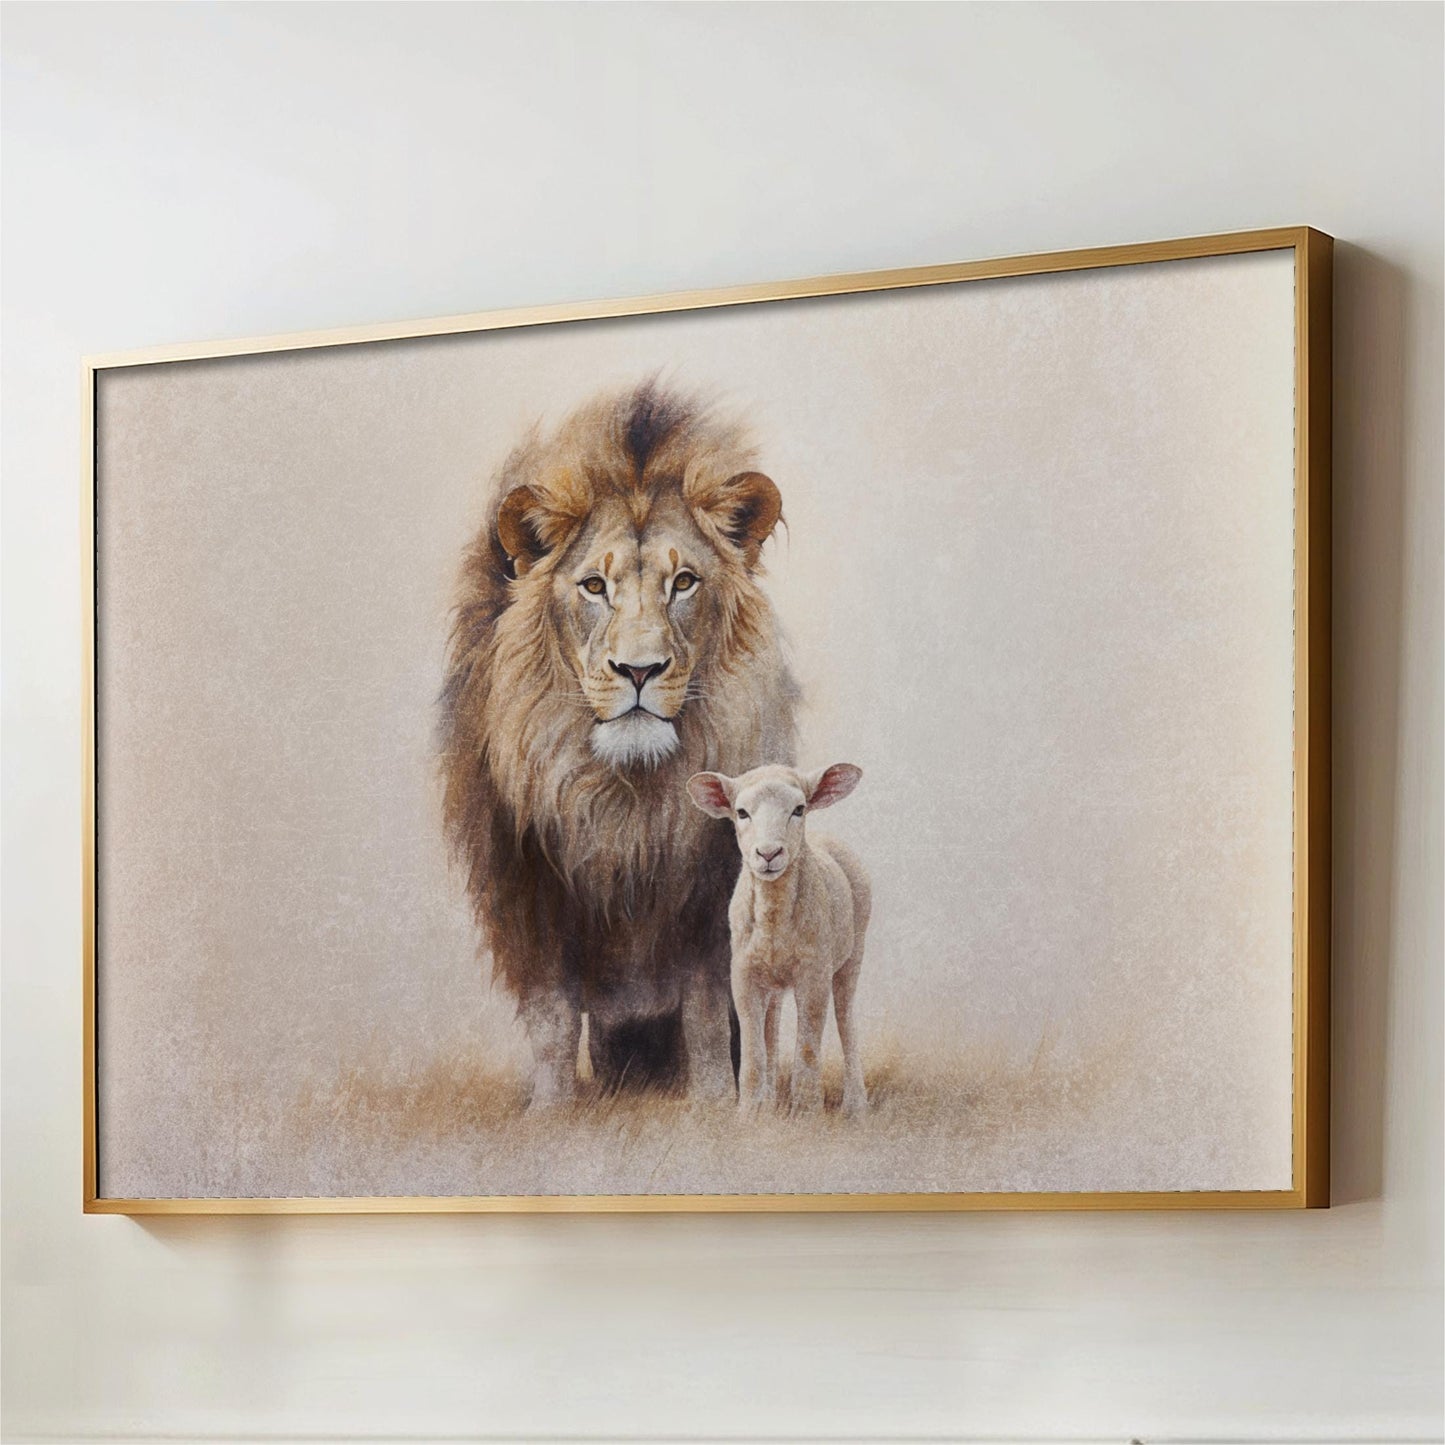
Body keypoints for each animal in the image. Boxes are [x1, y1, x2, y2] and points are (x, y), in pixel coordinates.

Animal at [439, 380, 799, 1105]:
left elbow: (706, 1008)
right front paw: (550, 1110)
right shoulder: (527, 886)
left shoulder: (709, 888)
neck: (624, 792)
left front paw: (715, 1104)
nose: (639, 670)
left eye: (683, 582)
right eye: (594, 586)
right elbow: (551, 1015)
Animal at [687, 763, 871, 1116]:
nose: (768, 853)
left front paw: (806, 1112)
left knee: (847, 1022)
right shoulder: (743, 975)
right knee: (771, 1029)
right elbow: (754, 1049)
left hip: (852, 956)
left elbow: (809, 1046)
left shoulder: (814, 974)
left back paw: (855, 1106)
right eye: (741, 812)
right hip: (773, 981)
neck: (774, 922)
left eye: (798, 809)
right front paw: (749, 1113)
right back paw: (769, 1103)